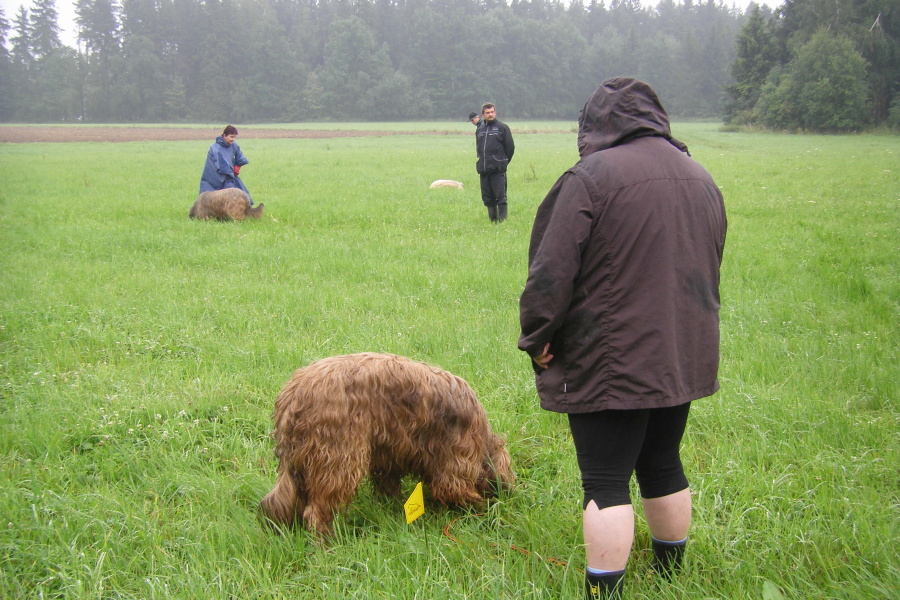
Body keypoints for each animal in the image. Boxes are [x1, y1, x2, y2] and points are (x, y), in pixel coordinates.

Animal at [258, 354, 512, 536]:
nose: (507, 496)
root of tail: (293, 395)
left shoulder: (389, 457)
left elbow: (388, 483)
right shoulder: (455, 461)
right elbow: (455, 487)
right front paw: (476, 509)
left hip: (300, 463)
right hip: (338, 457)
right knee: (317, 511)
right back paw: (327, 541)